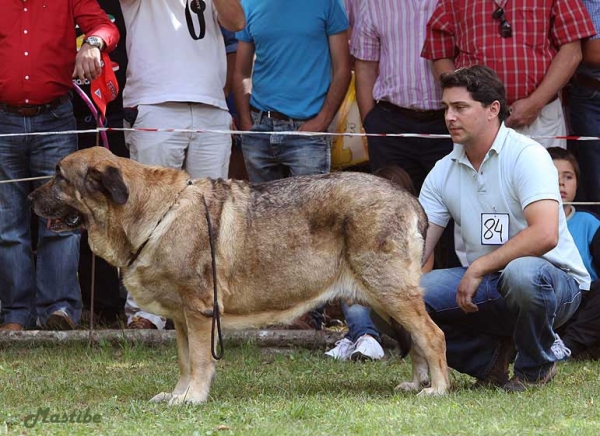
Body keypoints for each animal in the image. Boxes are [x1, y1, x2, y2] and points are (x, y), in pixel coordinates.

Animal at [29, 147, 450, 406]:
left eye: (59, 177)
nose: (30, 199)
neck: (153, 213)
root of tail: (409, 198)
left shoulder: (199, 313)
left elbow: (200, 361)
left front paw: (193, 398)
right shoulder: (183, 318)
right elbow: (184, 361)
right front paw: (177, 395)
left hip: (390, 291)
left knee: (433, 336)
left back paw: (438, 389)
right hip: (382, 298)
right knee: (416, 340)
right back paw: (418, 383)